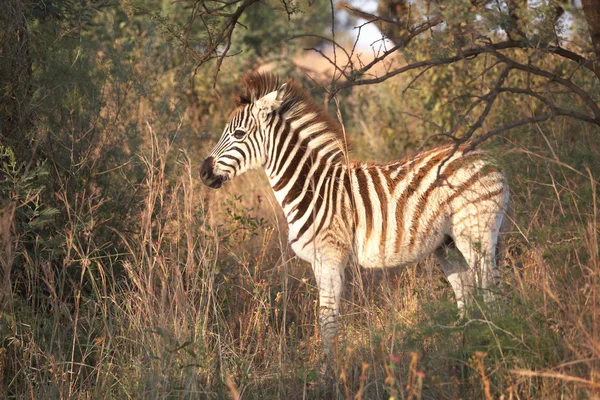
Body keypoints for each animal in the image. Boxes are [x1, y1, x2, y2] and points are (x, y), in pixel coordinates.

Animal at [199, 71, 508, 356]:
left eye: (239, 134)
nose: (203, 172)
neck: (313, 188)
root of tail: (485, 156)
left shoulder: (331, 257)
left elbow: (327, 323)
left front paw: (329, 373)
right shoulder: (318, 262)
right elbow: (326, 321)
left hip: (475, 232)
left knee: (492, 292)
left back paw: (496, 349)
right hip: (448, 245)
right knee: (467, 296)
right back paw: (465, 353)